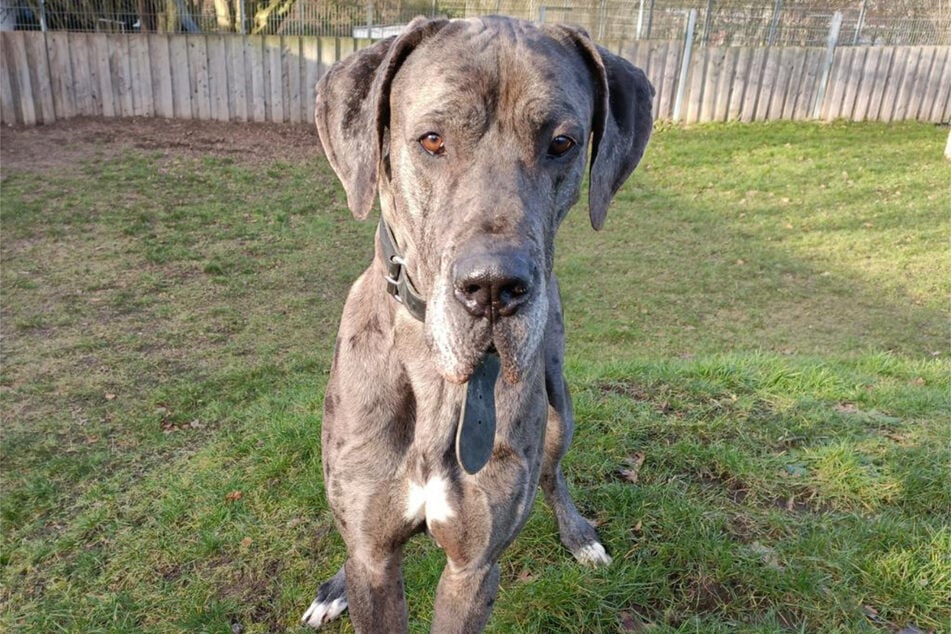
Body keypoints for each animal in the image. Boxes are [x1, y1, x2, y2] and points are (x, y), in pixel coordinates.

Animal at [304, 16, 656, 632]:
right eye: (432, 140)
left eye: (561, 143)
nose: (494, 287)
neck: (438, 379)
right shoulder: (374, 555)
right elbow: (365, 554)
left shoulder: (472, 568)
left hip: (559, 407)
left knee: (553, 470)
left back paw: (578, 533)